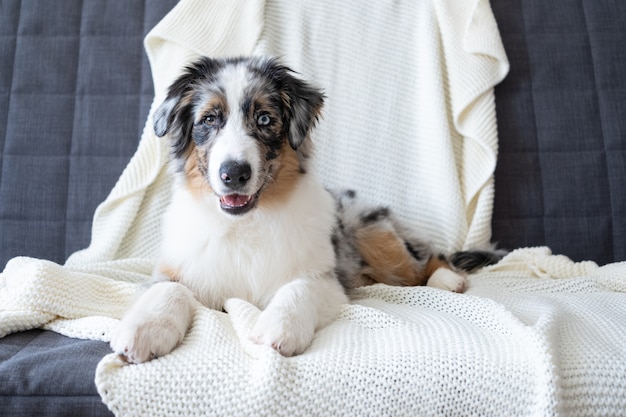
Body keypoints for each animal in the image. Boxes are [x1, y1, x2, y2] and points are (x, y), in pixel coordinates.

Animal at [109, 57, 500, 362]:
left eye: (265, 120)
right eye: (209, 119)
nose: (234, 173)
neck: (245, 224)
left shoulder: (325, 279)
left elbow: (298, 288)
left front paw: (278, 329)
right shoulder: (176, 270)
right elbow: (168, 290)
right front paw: (143, 331)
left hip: (374, 233)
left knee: (425, 259)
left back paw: (448, 278)